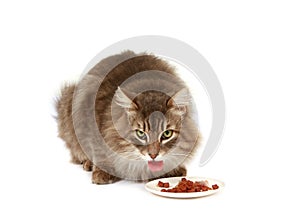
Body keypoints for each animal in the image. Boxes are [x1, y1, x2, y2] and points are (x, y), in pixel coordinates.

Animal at [56, 50, 202, 184]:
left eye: (167, 134)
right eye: (140, 133)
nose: (153, 155)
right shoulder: (91, 120)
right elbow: (99, 150)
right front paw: (103, 173)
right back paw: (88, 163)